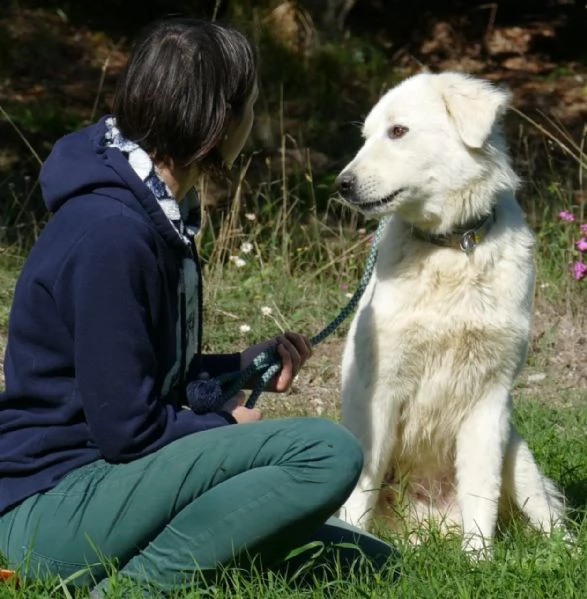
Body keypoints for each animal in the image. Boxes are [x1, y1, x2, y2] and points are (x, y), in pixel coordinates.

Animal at [338, 72, 568, 556]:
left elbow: (480, 490)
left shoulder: (489, 398)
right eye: (366, 136)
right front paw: (350, 540)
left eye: (398, 131)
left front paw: (478, 559)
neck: (452, 248)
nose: (341, 184)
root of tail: (431, 524)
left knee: (552, 523)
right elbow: (361, 488)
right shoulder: (379, 394)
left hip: (518, 454)